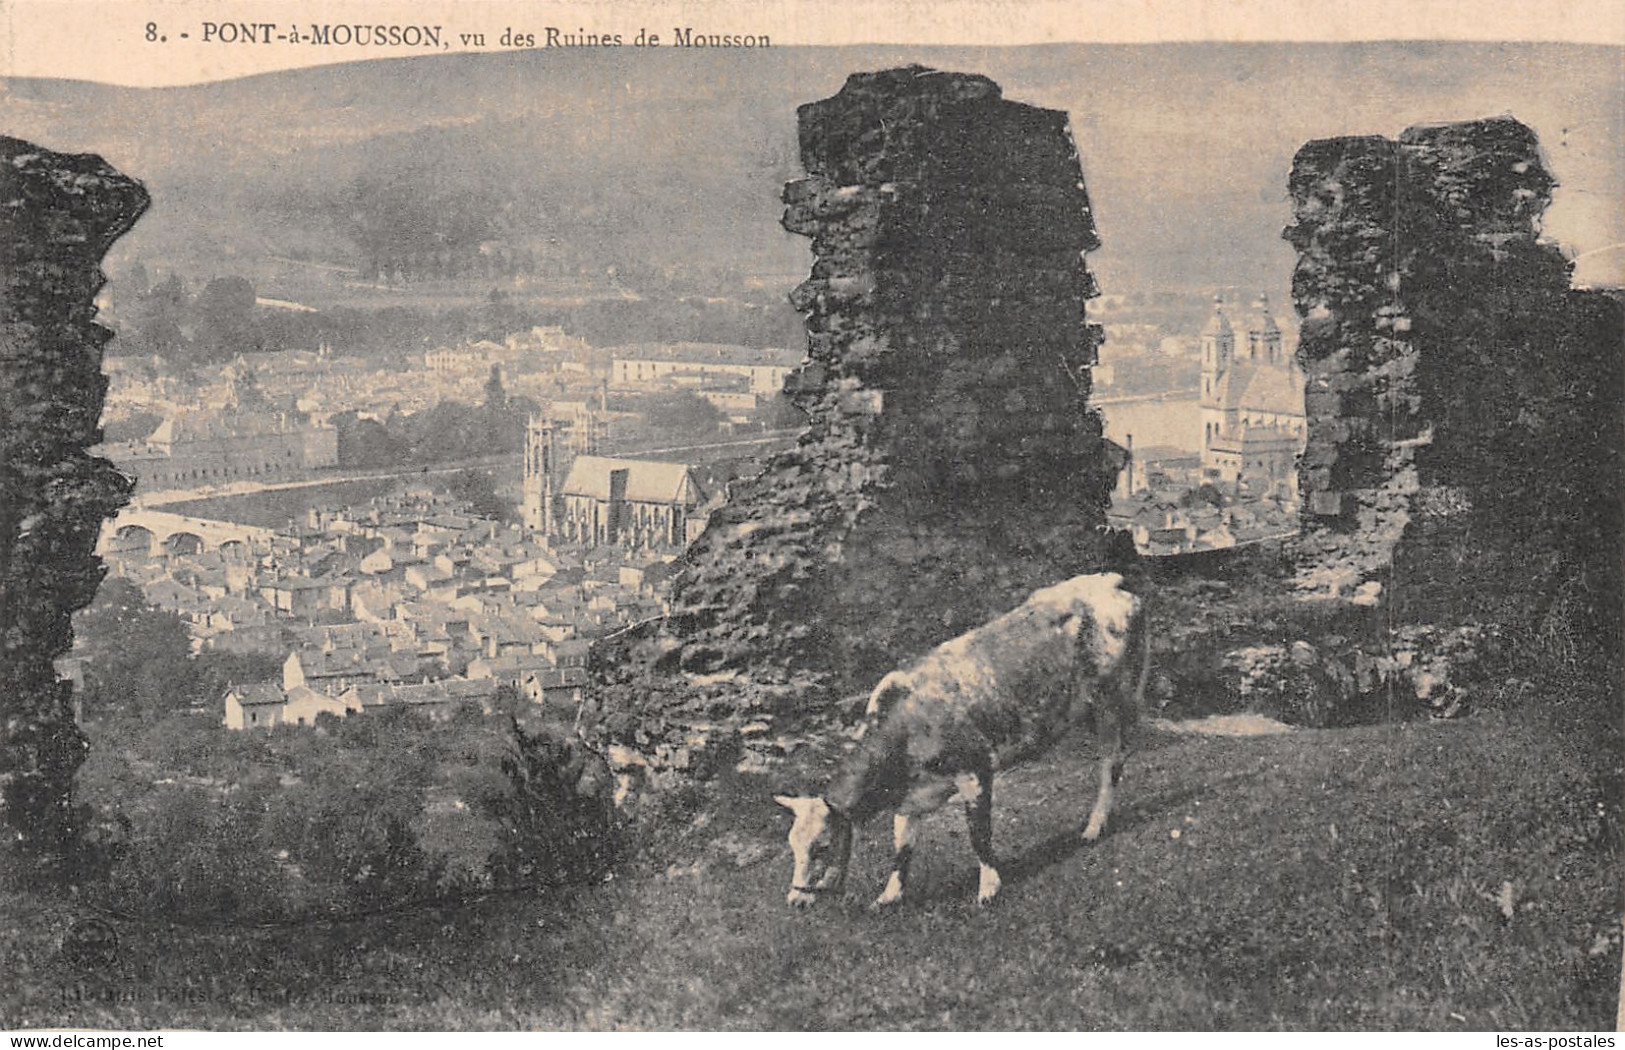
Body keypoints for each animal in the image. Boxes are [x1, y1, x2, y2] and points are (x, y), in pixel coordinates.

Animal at [776, 572, 1150, 910]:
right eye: (793, 845)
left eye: (822, 846)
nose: (795, 900)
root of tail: (1110, 580)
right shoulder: (909, 798)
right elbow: (902, 848)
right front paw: (889, 896)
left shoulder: (975, 769)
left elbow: (978, 834)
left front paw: (989, 888)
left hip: (1115, 695)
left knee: (1112, 760)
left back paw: (1093, 827)